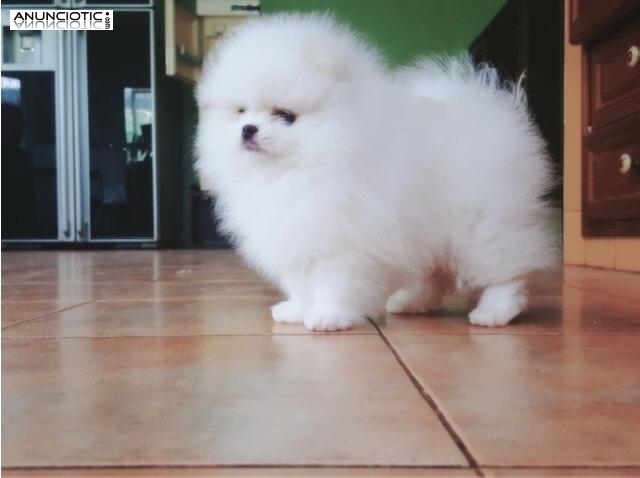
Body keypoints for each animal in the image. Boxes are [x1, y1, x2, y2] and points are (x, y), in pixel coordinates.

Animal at [198, 13, 556, 330]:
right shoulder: (296, 238)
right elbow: (300, 284)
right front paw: (298, 310)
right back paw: (411, 303)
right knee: (435, 274)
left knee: (504, 272)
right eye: (241, 111)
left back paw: (493, 312)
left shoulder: (341, 241)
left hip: (485, 225)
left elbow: (334, 283)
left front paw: (329, 317)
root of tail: (484, 107)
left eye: (285, 115)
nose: (248, 129)